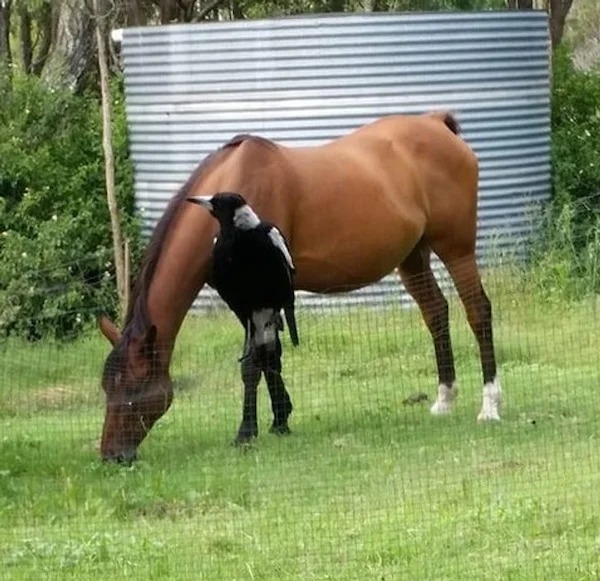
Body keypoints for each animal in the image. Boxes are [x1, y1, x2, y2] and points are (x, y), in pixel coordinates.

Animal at [98, 110, 502, 462]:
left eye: (134, 388)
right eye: (106, 386)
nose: (112, 455)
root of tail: (436, 123)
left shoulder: (261, 294)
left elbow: (256, 361)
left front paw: (248, 431)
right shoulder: (248, 300)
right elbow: (268, 355)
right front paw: (280, 419)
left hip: (456, 248)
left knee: (477, 311)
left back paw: (490, 404)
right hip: (413, 256)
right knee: (436, 313)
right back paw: (445, 399)